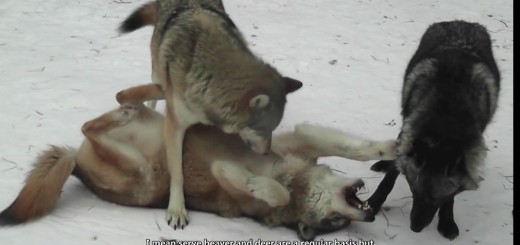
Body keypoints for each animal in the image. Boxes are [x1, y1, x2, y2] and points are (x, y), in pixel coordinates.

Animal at [0, 85, 394, 239]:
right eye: (337, 221)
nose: (371, 214)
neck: (298, 182)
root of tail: (77, 167)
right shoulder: (298, 141)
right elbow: (355, 151)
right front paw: (392, 147)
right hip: (147, 163)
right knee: (106, 111)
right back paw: (148, 94)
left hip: (145, 173)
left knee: (102, 116)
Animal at [366, 20, 500, 239]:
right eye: (413, 191)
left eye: (437, 199)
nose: (415, 228)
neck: (446, 122)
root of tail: (462, 22)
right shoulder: (407, 133)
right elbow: (389, 179)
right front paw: (372, 204)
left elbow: (452, 198)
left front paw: (447, 221)